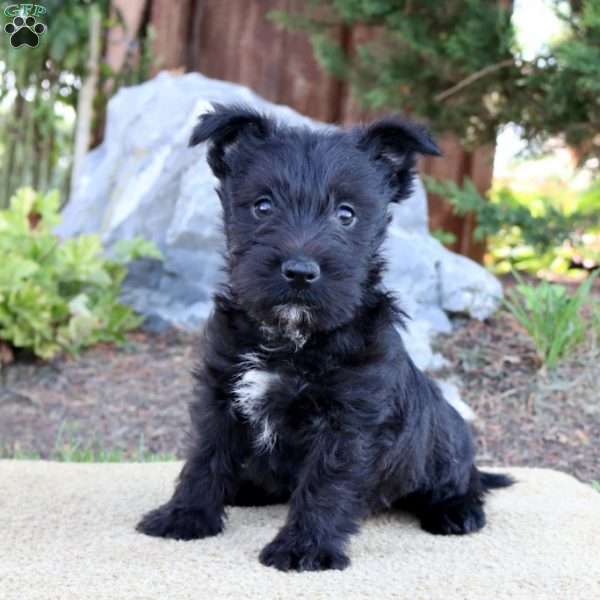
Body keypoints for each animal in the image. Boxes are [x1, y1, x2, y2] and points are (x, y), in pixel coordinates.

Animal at [138, 103, 512, 572]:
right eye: (262, 206)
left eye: (346, 213)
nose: (300, 271)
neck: (293, 338)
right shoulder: (221, 394)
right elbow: (204, 457)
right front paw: (185, 515)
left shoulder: (348, 421)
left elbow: (325, 484)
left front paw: (304, 548)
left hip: (444, 441)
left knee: (464, 479)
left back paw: (457, 511)